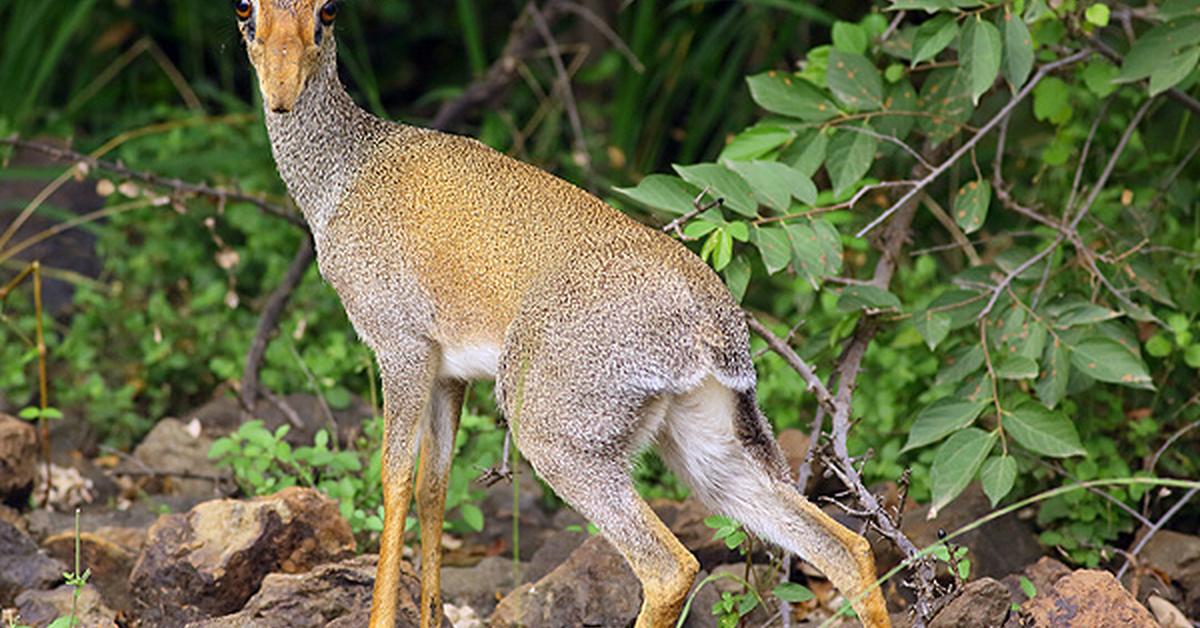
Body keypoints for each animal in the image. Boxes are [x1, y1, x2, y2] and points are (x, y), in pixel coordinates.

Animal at [236, 2, 892, 624]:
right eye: (246, 8)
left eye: (328, 11)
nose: (281, 93)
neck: (345, 173)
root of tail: (714, 325)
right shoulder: (449, 373)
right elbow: (433, 487)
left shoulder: (400, 348)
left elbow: (393, 480)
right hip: (709, 446)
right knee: (847, 549)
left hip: (556, 437)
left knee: (671, 568)